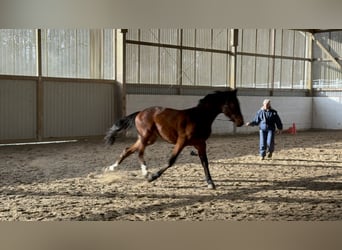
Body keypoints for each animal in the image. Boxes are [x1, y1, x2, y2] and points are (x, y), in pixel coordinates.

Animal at [104, 89, 243, 188]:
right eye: (232, 104)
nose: (241, 122)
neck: (199, 117)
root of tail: (140, 113)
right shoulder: (182, 141)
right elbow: (171, 161)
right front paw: (153, 176)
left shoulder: (201, 143)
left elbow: (204, 162)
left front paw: (210, 182)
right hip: (146, 136)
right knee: (140, 152)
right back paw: (146, 172)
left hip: (149, 139)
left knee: (128, 150)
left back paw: (111, 168)